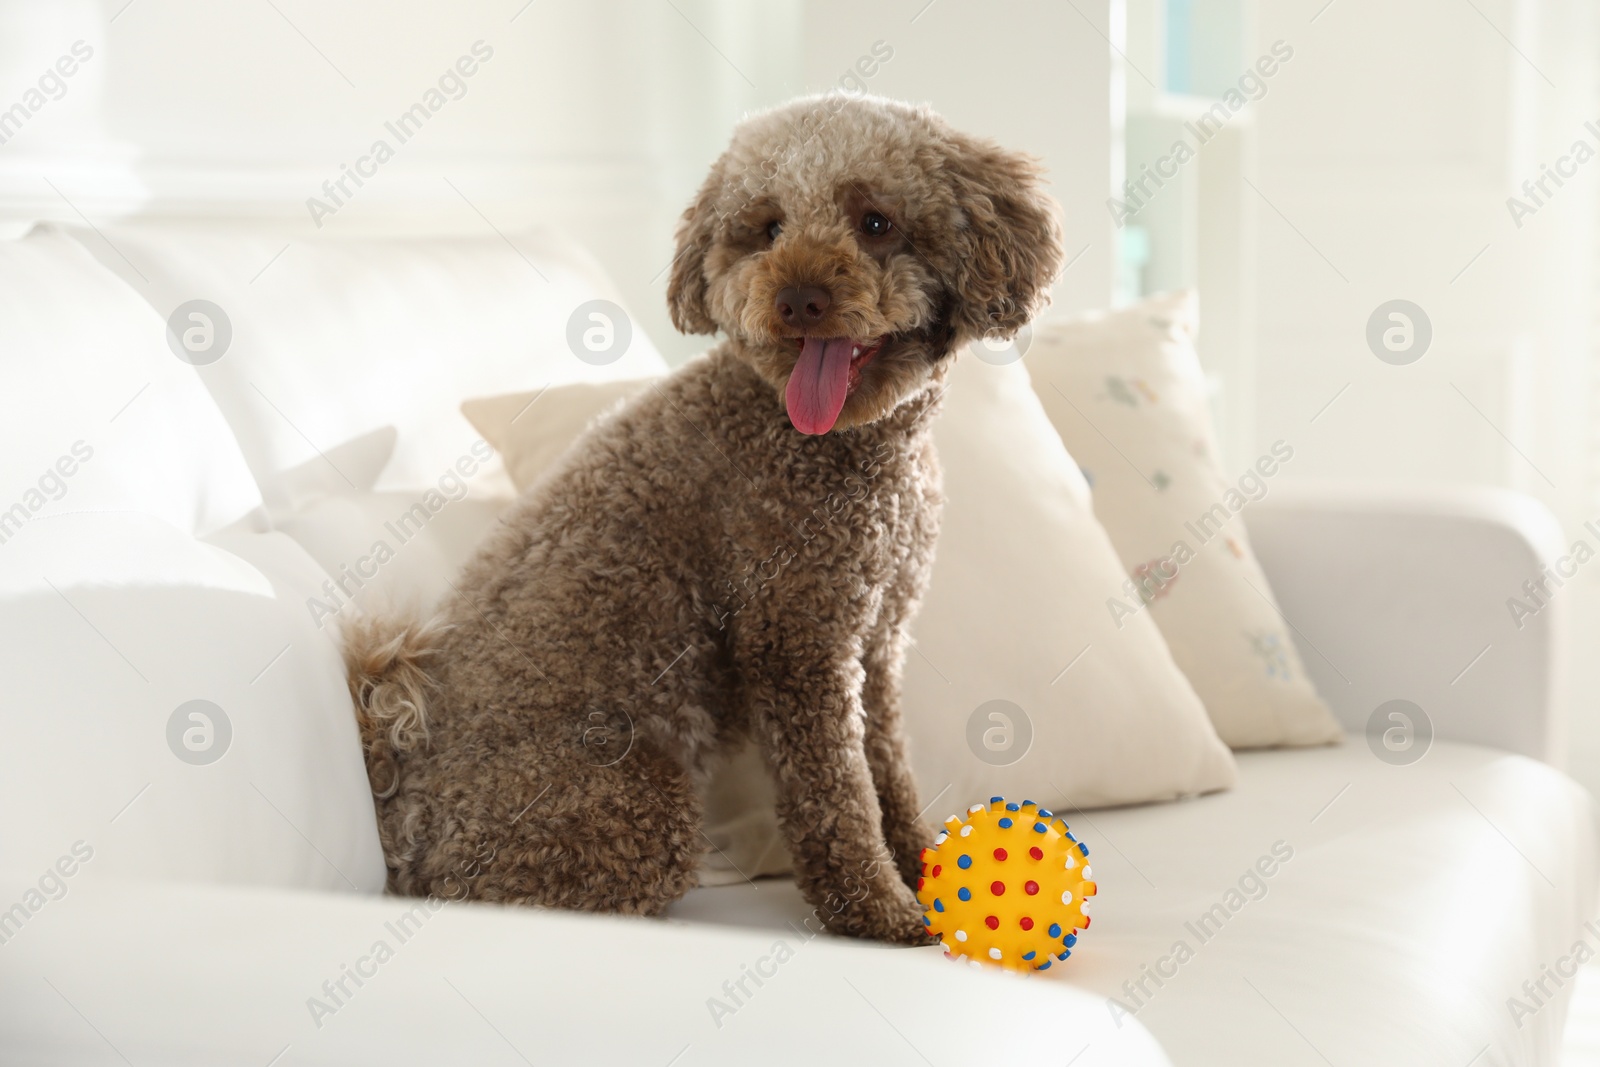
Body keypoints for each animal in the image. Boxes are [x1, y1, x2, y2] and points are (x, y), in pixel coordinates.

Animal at [344, 93, 1056, 940]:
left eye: (876, 221)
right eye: (768, 226)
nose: (798, 299)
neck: (817, 441)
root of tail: (402, 806)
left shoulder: (875, 644)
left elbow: (889, 773)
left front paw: (923, 868)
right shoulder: (797, 644)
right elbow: (839, 798)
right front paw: (882, 911)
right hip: (632, 808)